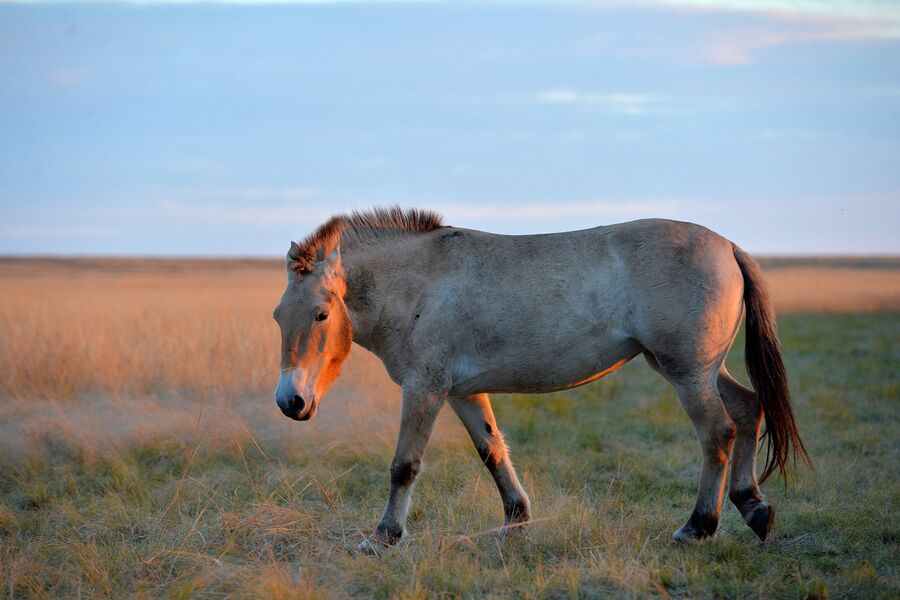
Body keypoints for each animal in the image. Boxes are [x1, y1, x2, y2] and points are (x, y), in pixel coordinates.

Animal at [272, 206, 808, 552]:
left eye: (321, 314)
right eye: (279, 316)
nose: (289, 402)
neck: (420, 280)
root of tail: (728, 246)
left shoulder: (424, 389)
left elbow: (404, 465)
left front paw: (382, 537)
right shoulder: (463, 393)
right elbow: (493, 452)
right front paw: (516, 521)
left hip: (688, 373)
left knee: (718, 433)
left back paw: (697, 527)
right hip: (700, 370)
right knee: (748, 409)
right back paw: (753, 507)